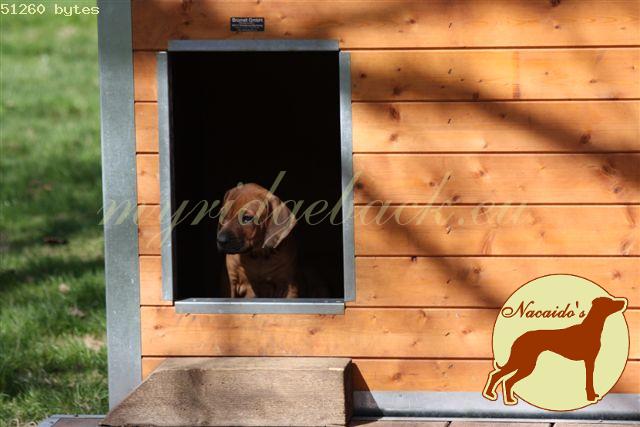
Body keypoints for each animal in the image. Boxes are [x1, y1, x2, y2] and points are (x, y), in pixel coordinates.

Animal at [483, 296, 627, 405]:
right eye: (610, 301)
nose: (624, 302)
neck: (591, 328)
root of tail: (519, 338)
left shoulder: (590, 361)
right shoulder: (589, 360)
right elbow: (589, 381)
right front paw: (591, 397)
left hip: (524, 362)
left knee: (504, 379)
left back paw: (503, 398)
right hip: (524, 362)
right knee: (501, 377)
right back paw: (496, 396)